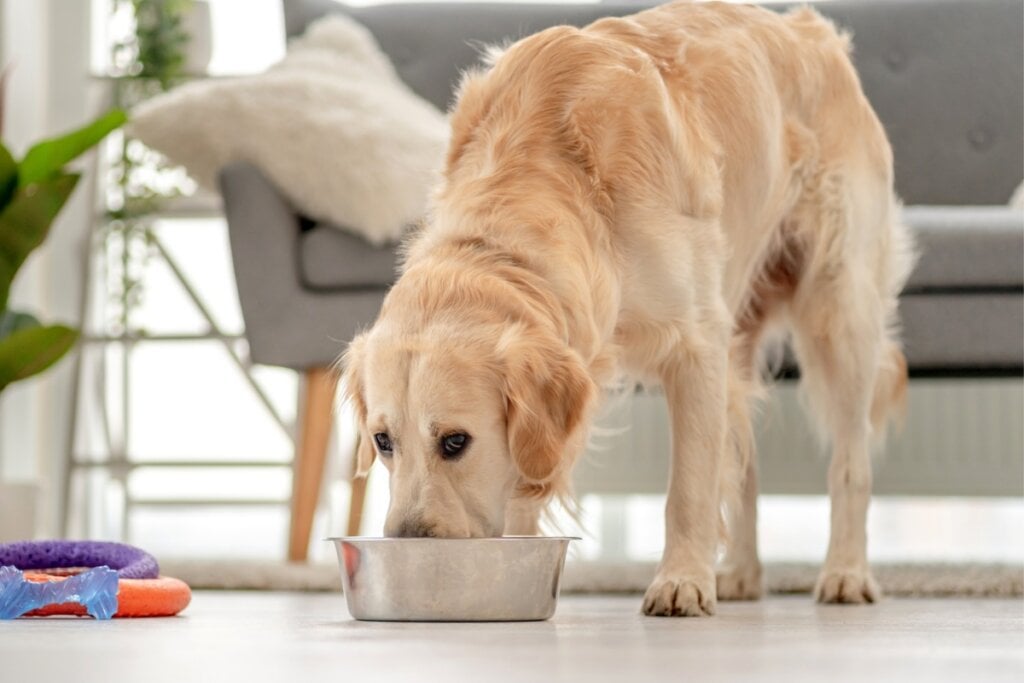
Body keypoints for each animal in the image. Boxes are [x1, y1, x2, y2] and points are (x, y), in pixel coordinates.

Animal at [342, 0, 913, 618]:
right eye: (382, 441)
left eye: (455, 442)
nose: (407, 543)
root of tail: (812, 29)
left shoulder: (697, 345)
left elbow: (689, 486)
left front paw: (682, 581)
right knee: (741, 457)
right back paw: (741, 573)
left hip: (840, 308)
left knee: (849, 463)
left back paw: (846, 573)